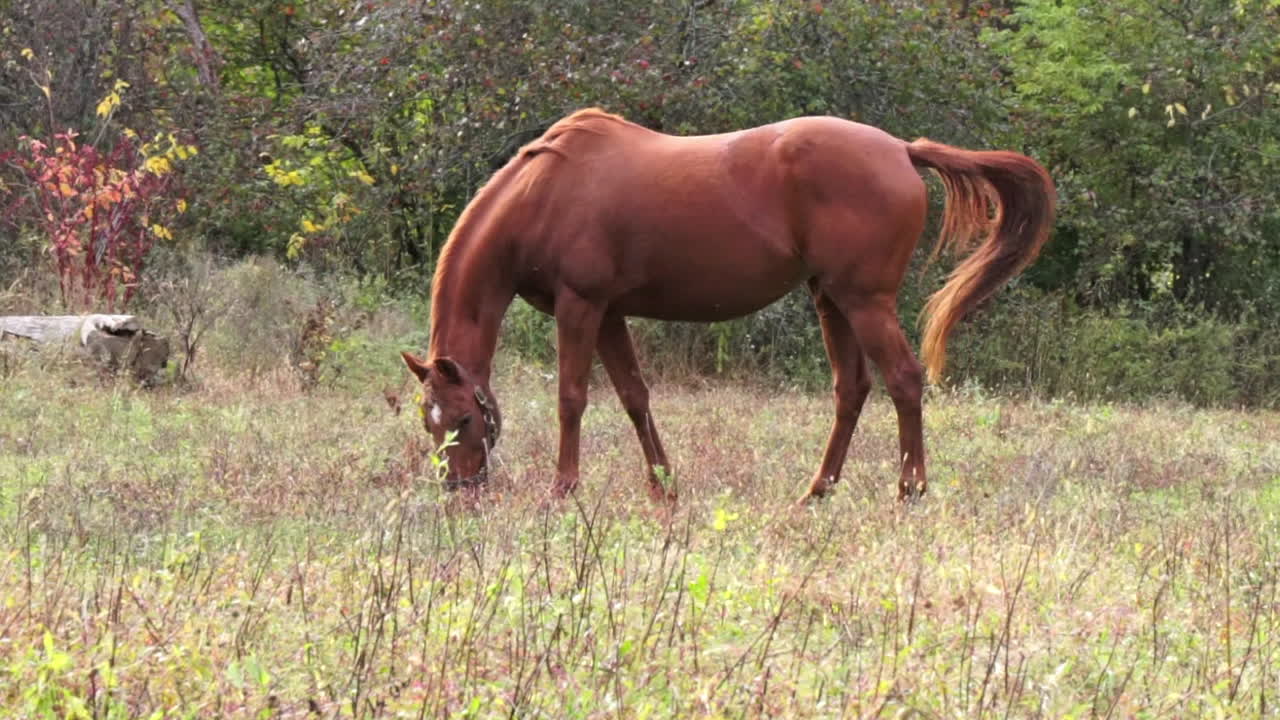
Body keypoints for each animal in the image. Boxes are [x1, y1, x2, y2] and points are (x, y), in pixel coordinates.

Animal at [401, 108, 1054, 502]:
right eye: (429, 422)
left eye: (463, 419)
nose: (458, 489)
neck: (544, 195)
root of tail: (900, 148)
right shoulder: (609, 312)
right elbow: (635, 397)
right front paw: (664, 486)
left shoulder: (580, 306)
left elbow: (572, 398)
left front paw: (564, 488)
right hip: (831, 300)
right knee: (852, 389)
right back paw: (817, 490)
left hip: (864, 301)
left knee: (903, 380)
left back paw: (909, 489)